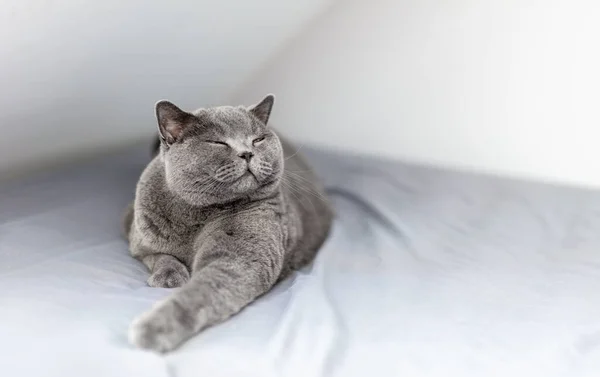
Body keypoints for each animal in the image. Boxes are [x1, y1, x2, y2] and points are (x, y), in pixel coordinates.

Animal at [122, 94, 332, 352]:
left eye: (258, 139)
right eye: (217, 142)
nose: (247, 153)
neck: (194, 215)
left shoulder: (242, 259)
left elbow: (202, 292)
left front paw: (154, 327)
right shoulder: (136, 235)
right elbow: (158, 255)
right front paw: (169, 276)